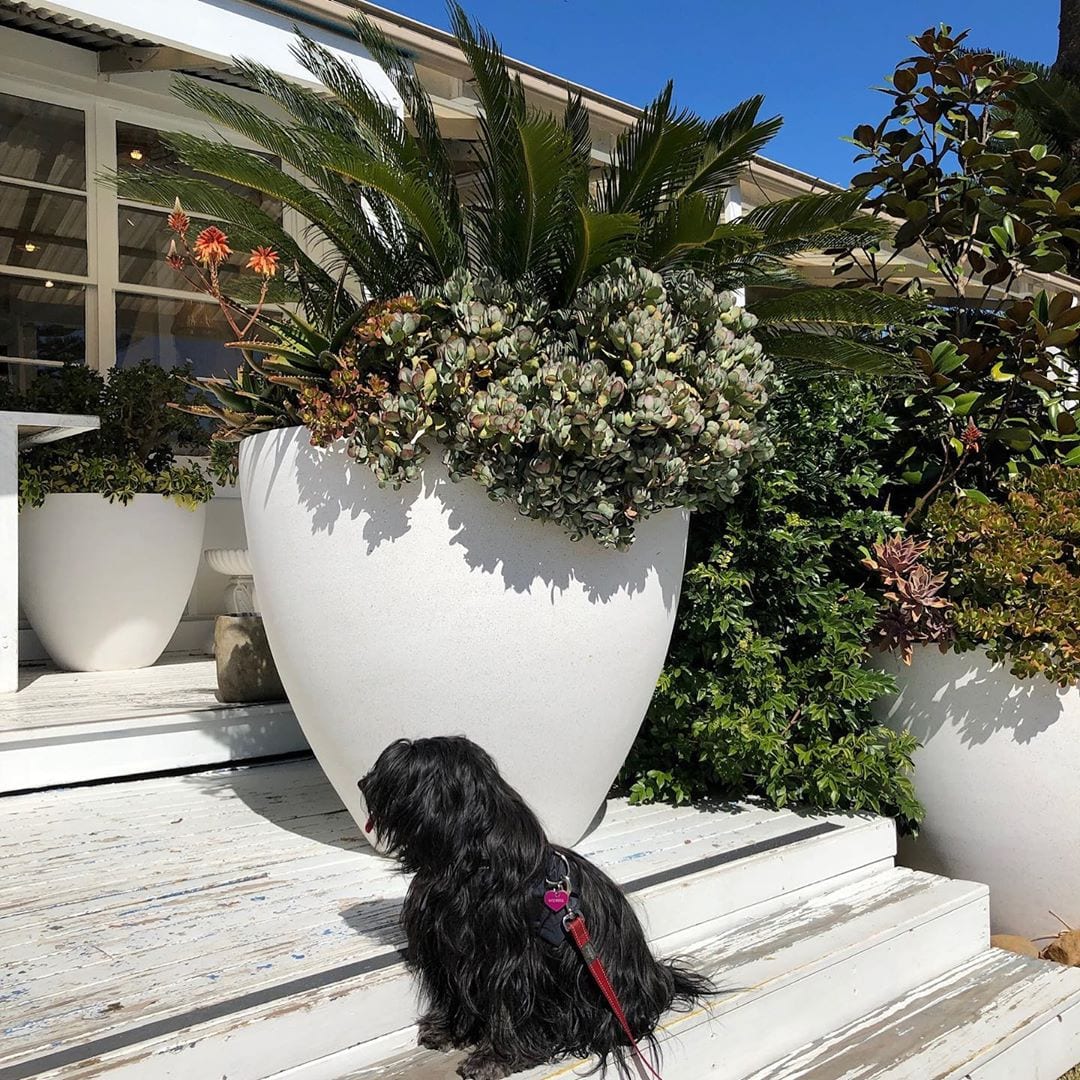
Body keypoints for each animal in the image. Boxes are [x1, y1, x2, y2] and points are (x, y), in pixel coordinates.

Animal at [356, 738, 708, 1075]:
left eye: (402, 768)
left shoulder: (508, 962)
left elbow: (504, 1008)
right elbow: (454, 993)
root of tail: (657, 980)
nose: (361, 782)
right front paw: (446, 1030)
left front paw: (494, 1059)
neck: (472, 862)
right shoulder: (451, 950)